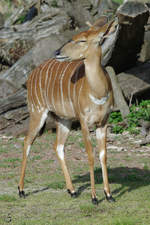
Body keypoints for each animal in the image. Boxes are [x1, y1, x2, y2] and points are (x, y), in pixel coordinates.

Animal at [18, 16, 119, 205]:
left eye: (82, 40)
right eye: (74, 37)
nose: (57, 51)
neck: (98, 92)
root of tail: (31, 75)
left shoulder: (103, 123)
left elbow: (103, 155)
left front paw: (109, 195)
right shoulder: (84, 121)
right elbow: (90, 155)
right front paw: (94, 197)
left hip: (64, 120)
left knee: (58, 146)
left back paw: (72, 190)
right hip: (37, 112)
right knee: (27, 141)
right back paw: (21, 190)